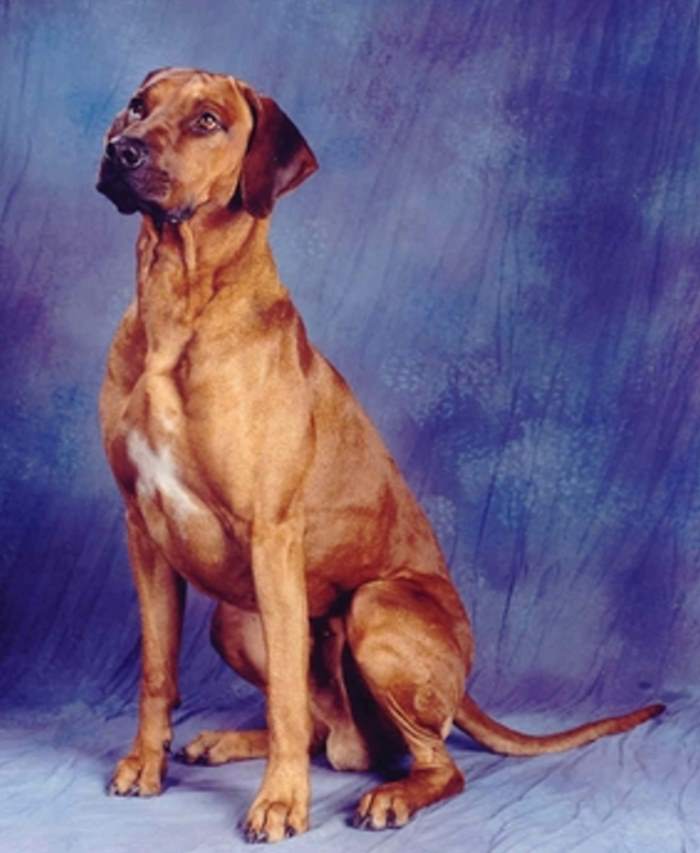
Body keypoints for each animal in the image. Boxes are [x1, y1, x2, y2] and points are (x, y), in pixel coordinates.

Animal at [96, 67, 664, 843]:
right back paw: (232, 743)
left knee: (431, 759)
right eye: (138, 106)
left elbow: (283, 698)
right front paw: (144, 764)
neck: (178, 304)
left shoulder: (272, 534)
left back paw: (392, 794)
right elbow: (157, 672)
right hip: (235, 617)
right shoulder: (142, 530)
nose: (120, 151)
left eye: (208, 120)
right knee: (334, 734)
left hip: (376, 608)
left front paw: (280, 803)